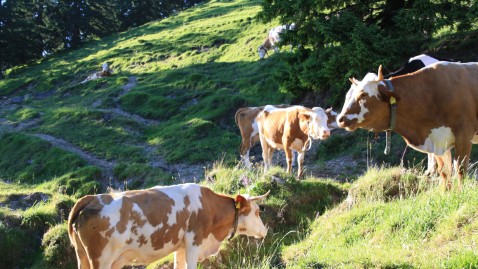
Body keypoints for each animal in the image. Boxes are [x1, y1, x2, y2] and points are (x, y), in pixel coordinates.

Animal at [67, 182, 270, 268]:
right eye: (257, 212)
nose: (265, 231)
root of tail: (92, 198)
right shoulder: (193, 243)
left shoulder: (180, 247)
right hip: (101, 259)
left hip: (82, 256)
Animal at [336, 62, 478, 188]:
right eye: (348, 96)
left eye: (363, 95)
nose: (340, 119)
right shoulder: (438, 142)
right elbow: (444, 173)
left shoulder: (464, 137)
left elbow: (460, 170)